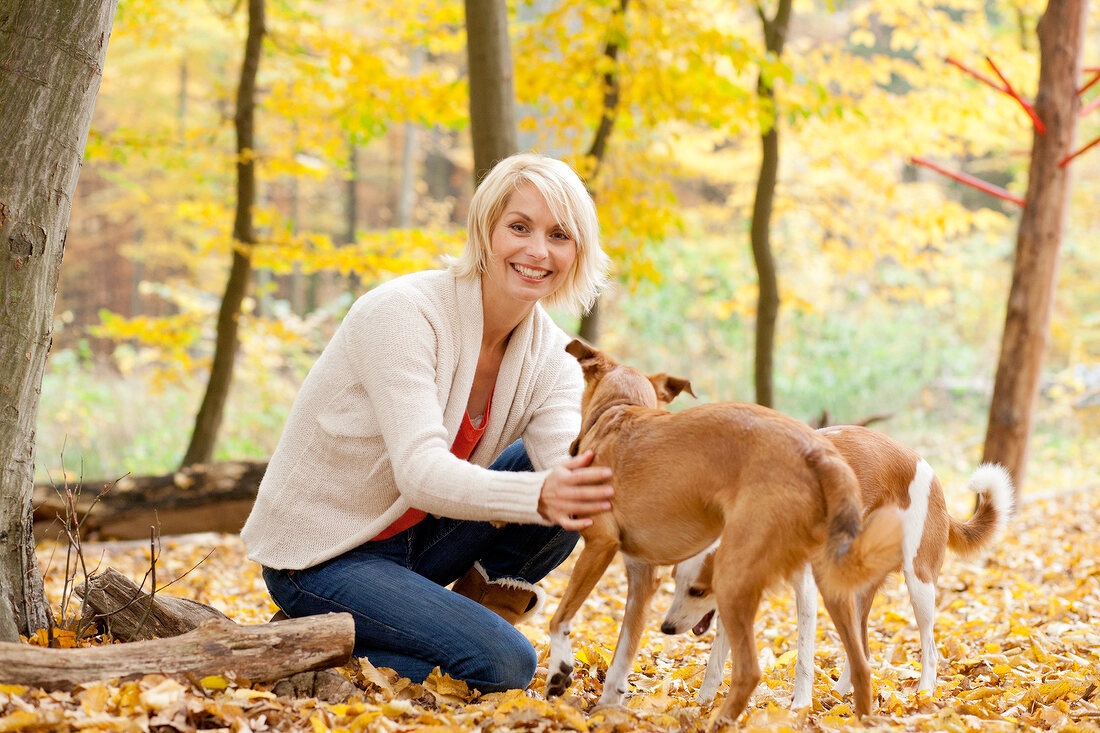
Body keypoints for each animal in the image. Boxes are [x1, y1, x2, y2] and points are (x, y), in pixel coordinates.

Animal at [545, 343, 906, 726]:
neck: (618, 412)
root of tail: (817, 452)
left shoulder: (600, 546)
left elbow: (559, 618)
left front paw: (559, 671)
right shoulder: (643, 576)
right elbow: (623, 651)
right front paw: (608, 710)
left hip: (733, 579)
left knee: (749, 671)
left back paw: (716, 721)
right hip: (831, 586)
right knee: (861, 665)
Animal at [660, 424, 1012, 704]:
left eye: (697, 591)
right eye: (675, 583)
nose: (666, 628)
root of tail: (930, 473)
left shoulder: (805, 591)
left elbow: (803, 659)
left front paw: (800, 706)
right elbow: (715, 659)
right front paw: (702, 703)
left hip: (919, 585)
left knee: (930, 649)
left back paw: (924, 692)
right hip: (853, 590)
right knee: (862, 650)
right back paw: (842, 692)